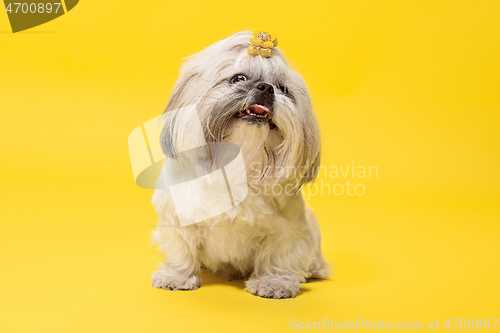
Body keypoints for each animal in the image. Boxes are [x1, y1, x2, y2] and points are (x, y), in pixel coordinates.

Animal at [151, 31, 328, 296]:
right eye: (239, 78)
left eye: (283, 89)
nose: (266, 87)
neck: (240, 158)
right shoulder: (178, 216)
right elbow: (181, 250)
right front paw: (176, 277)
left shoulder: (288, 229)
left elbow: (280, 255)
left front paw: (273, 283)